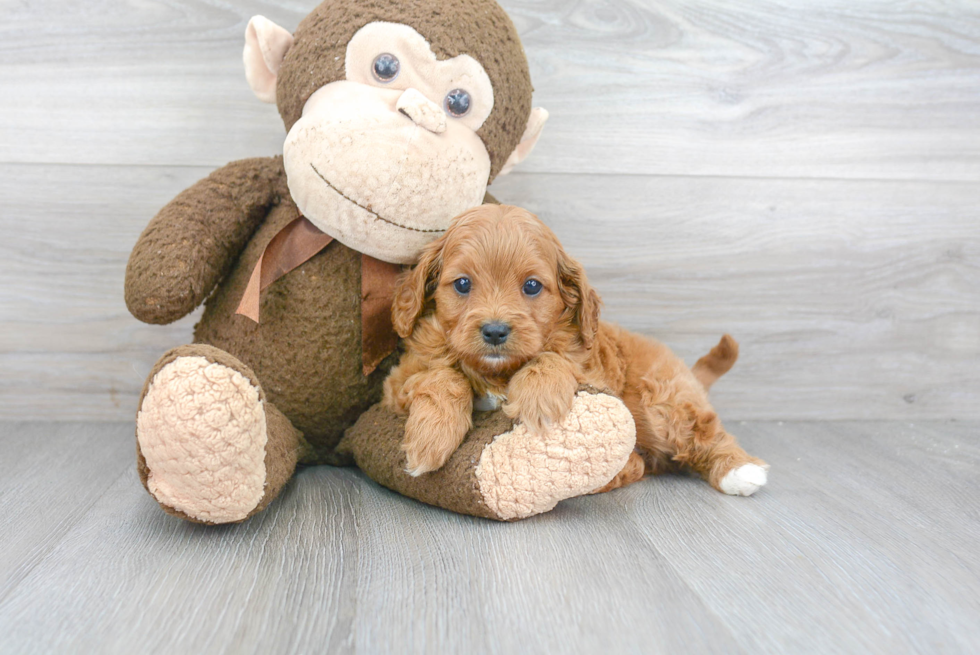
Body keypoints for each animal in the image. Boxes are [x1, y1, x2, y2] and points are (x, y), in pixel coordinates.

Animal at [378, 205, 768, 498]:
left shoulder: (592, 372)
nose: (495, 331)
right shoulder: (398, 381)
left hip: (662, 402)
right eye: (462, 284)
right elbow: (442, 375)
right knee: (643, 464)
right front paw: (431, 437)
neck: (496, 371)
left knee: (703, 432)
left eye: (532, 286)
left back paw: (739, 469)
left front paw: (539, 400)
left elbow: (553, 358)